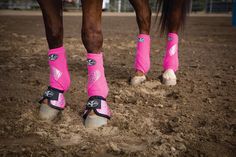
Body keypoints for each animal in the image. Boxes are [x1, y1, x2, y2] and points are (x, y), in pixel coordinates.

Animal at [37, 0, 190, 128]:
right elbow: (53, 32)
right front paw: (53, 95)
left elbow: (91, 34)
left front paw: (96, 105)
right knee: (145, 14)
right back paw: (140, 72)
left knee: (173, 19)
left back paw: (169, 72)